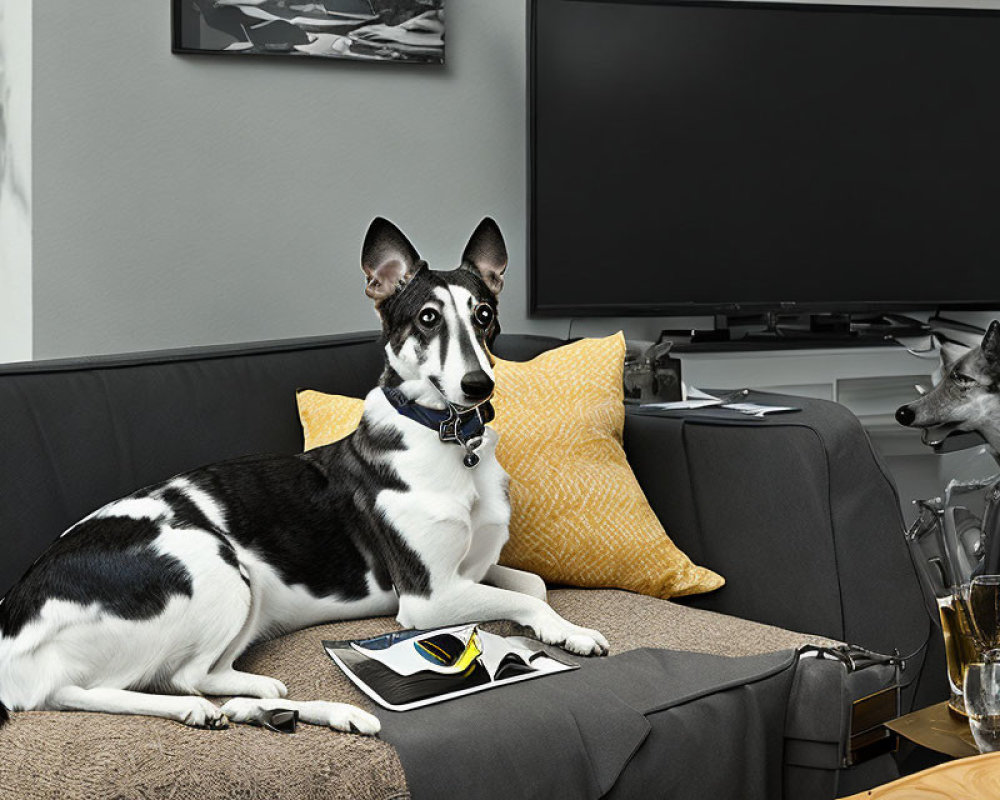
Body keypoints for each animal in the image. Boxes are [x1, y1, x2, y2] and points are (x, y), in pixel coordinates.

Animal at [0, 219, 608, 736]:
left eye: (483, 314)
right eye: (428, 318)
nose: (478, 386)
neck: (450, 442)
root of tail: (14, 625)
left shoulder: (474, 569)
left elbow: (534, 585)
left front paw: (564, 630)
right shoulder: (428, 597)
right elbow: (523, 599)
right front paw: (566, 630)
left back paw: (265, 708)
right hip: (218, 564)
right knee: (164, 680)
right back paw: (244, 704)